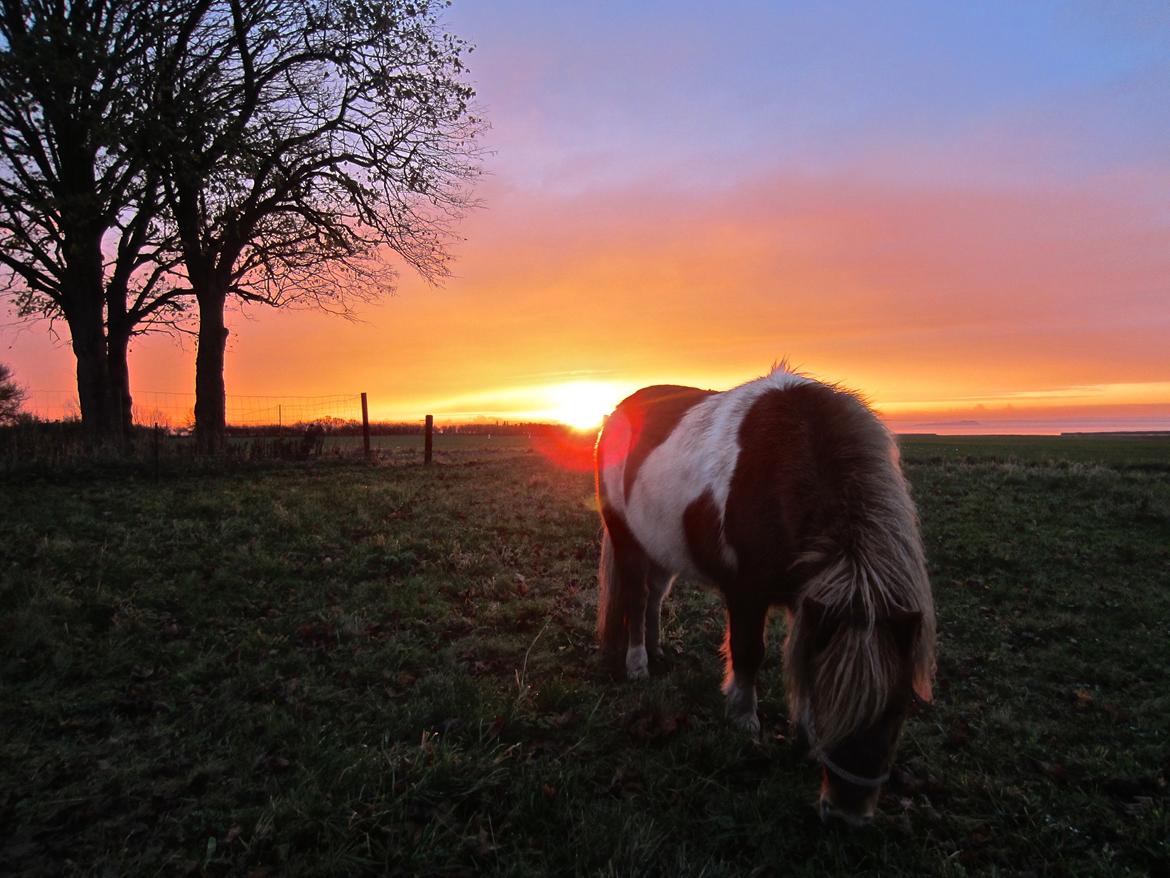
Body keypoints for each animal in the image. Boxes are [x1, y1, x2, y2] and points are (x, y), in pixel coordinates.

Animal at [599, 367, 935, 828]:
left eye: (900, 709)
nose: (847, 814)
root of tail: (617, 413)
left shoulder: (807, 598)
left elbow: (805, 656)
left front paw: (805, 738)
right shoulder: (746, 593)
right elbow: (748, 652)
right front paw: (745, 720)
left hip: (661, 548)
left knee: (653, 598)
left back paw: (656, 649)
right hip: (627, 540)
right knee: (634, 598)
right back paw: (638, 664)